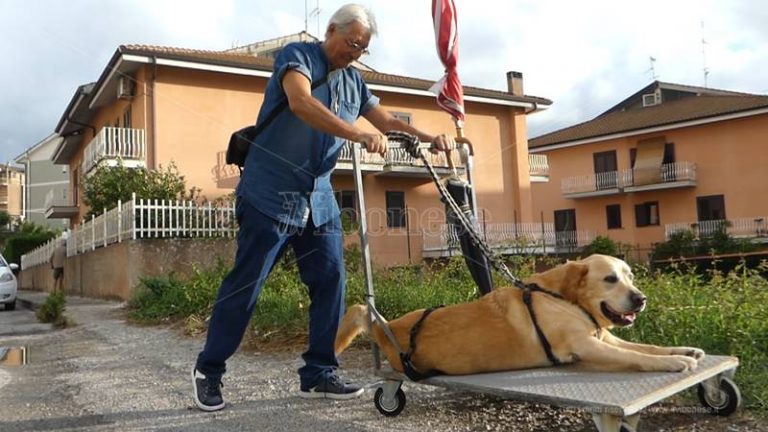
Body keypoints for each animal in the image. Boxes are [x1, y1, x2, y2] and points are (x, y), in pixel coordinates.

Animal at [332, 255, 704, 376]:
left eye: (631, 276)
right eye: (610, 279)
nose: (641, 299)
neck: (563, 298)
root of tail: (385, 326)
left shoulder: (605, 336)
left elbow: (647, 347)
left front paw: (684, 350)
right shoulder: (586, 345)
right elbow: (640, 357)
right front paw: (675, 362)